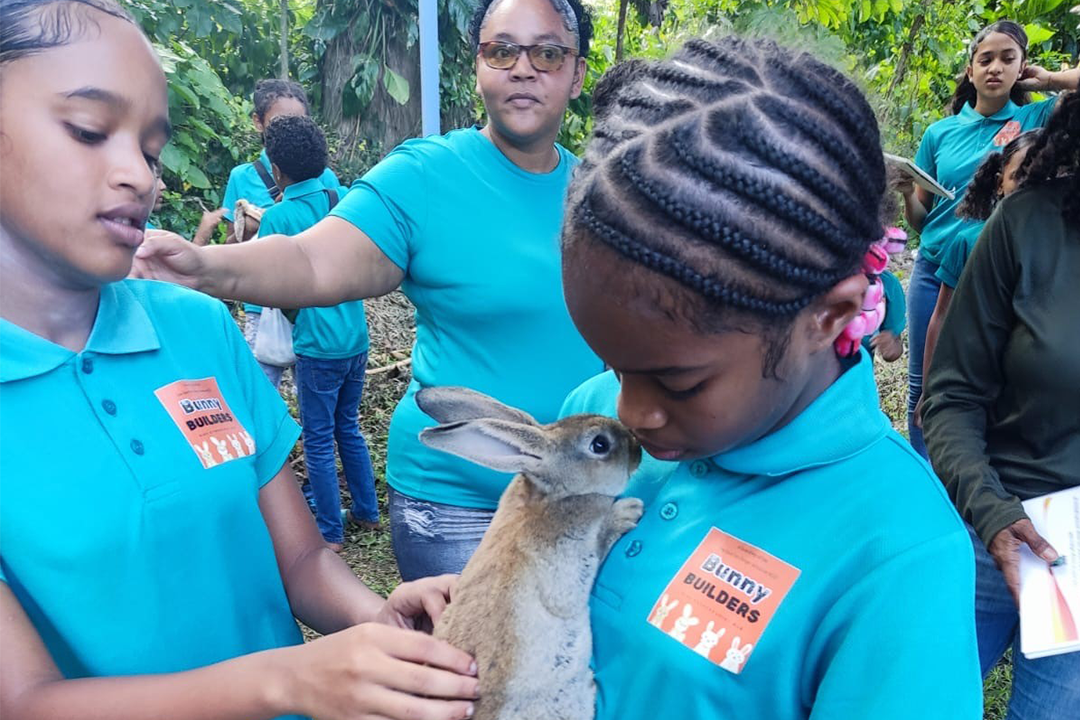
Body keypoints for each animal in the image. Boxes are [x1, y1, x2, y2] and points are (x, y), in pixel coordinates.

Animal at [417, 386, 644, 720]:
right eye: (599, 444)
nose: (638, 449)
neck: (553, 494)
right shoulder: (569, 566)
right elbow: (598, 543)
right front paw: (627, 512)